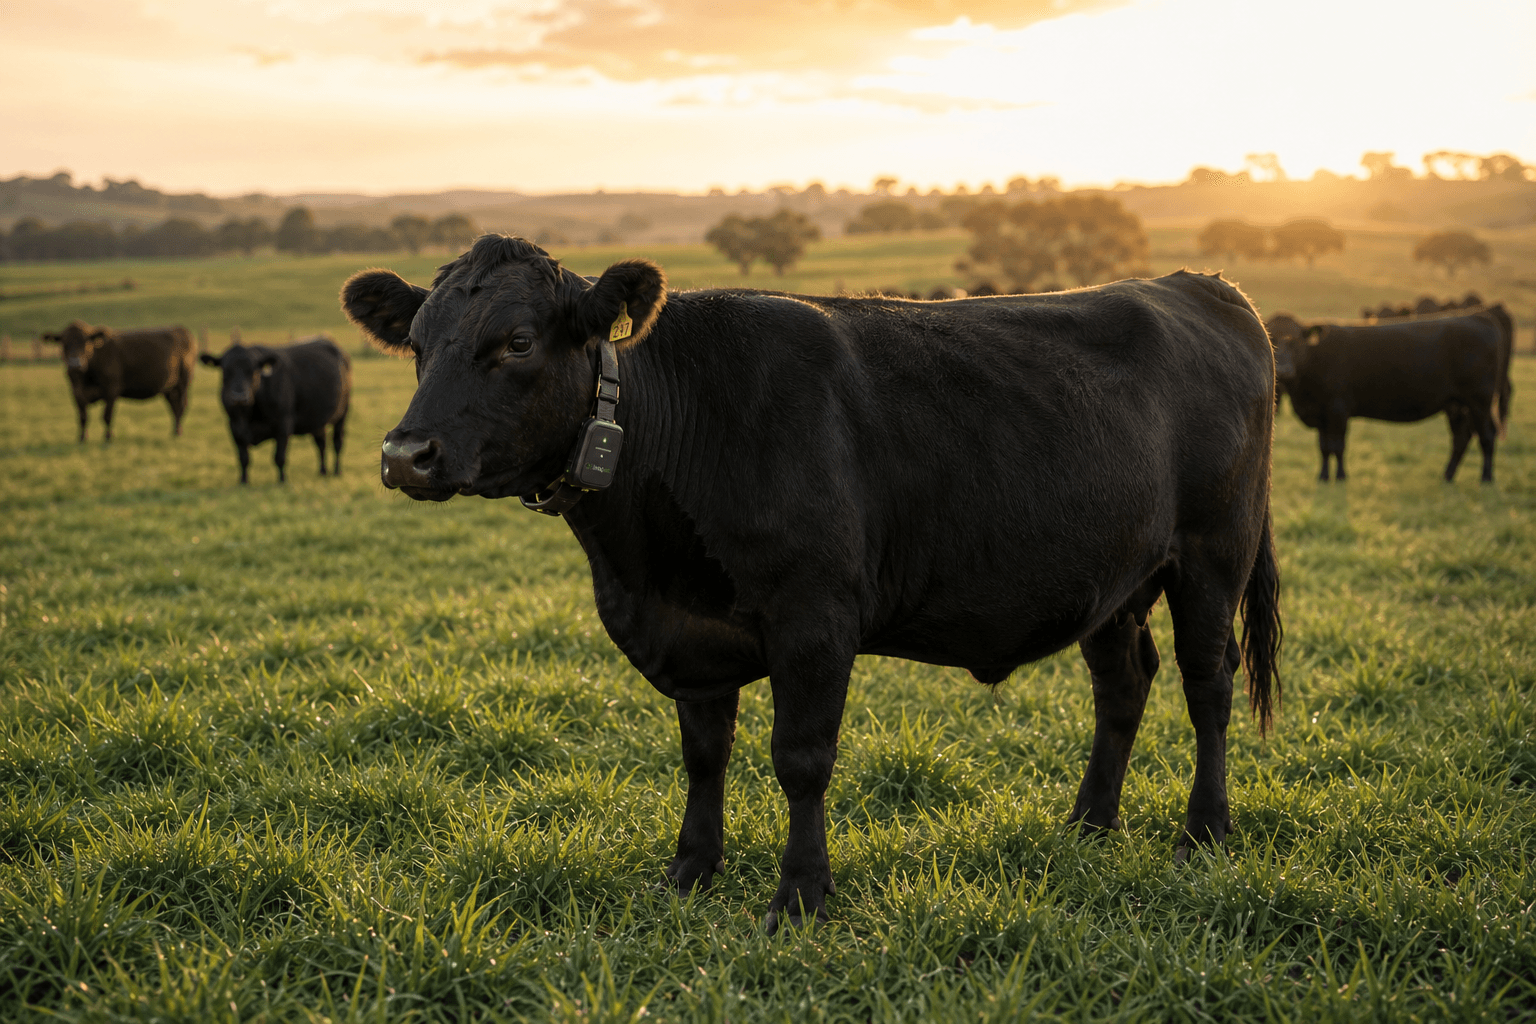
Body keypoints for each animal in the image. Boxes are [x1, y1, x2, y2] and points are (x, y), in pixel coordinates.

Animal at [41, 320, 194, 442]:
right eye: (64, 343)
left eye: (86, 343)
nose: (75, 365)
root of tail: (180, 329)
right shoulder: (76, 392)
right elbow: (83, 417)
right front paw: (82, 438)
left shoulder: (111, 389)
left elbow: (107, 416)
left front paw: (108, 437)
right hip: (168, 388)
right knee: (173, 407)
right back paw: (174, 431)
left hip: (183, 382)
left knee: (181, 406)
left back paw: (177, 433)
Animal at [199, 335, 351, 484]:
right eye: (226, 370)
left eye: (253, 370)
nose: (239, 397)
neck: (250, 415)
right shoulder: (234, 427)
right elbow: (243, 458)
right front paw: (243, 481)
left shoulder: (284, 424)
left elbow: (279, 457)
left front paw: (282, 481)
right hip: (317, 421)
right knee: (321, 443)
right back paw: (322, 471)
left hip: (343, 414)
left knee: (337, 443)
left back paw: (337, 471)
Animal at [342, 236, 1281, 933]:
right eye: (417, 344)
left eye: (517, 342)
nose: (404, 453)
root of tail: (1201, 284)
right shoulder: (694, 635)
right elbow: (703, 754)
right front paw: (690, 869)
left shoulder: (815, 617)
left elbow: (801, 760)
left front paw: (799, 895)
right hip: (1113, 579)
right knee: (1123, 684)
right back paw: (1090, 824)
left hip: (1212, 553)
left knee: (1207, 684)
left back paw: (1203, 831)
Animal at [1272, 312, 1508, 482]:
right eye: (1272, 342)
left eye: (1295, 342)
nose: (1283, 370)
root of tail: (1477, 317)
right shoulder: (1321, 414)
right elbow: (1323, 448)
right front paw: (1322, 477)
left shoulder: (1337, 409)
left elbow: (1337, 446)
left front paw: (1340, 477)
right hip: (1456, 405)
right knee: (1461, 438)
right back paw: (1447, 476)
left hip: (1480, 401)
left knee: (1487, 435)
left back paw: (1486, 478)